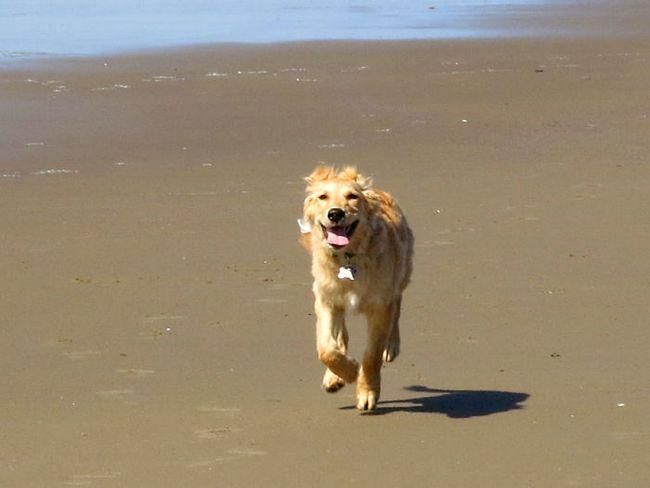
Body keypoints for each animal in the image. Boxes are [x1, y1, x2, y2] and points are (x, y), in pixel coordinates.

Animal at [298, 166, 412, 410]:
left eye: (352, 196)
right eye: (323, 197)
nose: (335, 214)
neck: (347, 257)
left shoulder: (379, 305)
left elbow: (372, 355)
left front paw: (367, 391)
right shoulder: (326, 300)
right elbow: (326, 349)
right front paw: (347, 372)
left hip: (402, 272)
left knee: (397, 304)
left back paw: (391, 345)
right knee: (341, 336)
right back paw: (334, 376)